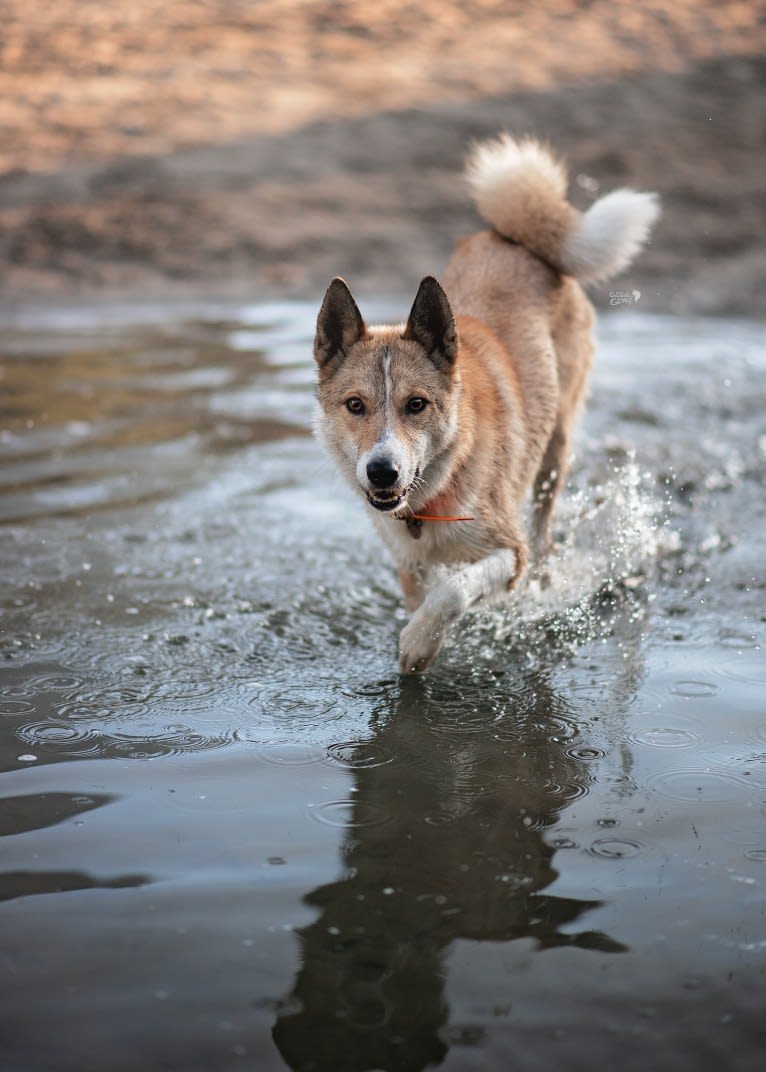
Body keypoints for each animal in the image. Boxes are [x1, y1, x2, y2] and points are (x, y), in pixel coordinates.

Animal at [310, 134, 659, 668]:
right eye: (355, 405)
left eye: (417, 404)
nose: (382, 472)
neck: (430, 500)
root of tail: (515, 239)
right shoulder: (408, 566)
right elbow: (428, 593)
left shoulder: (508, 549)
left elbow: (454, 591)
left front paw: (418, 645)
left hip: (553, 453)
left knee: (543, 534)